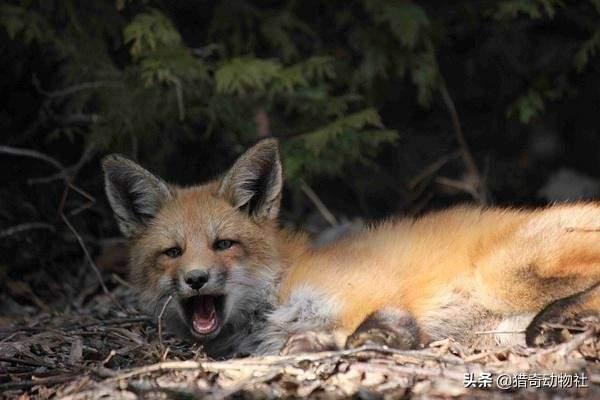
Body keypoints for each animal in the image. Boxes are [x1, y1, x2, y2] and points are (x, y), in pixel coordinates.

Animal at [103, 139, 600, 358]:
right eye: (173, 253)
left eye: (223, 244)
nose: (196, 279)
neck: (275, 297)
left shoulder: (367, 291)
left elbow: (370, 324)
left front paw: (381, 338)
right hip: (500, 328)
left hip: (508, 275)